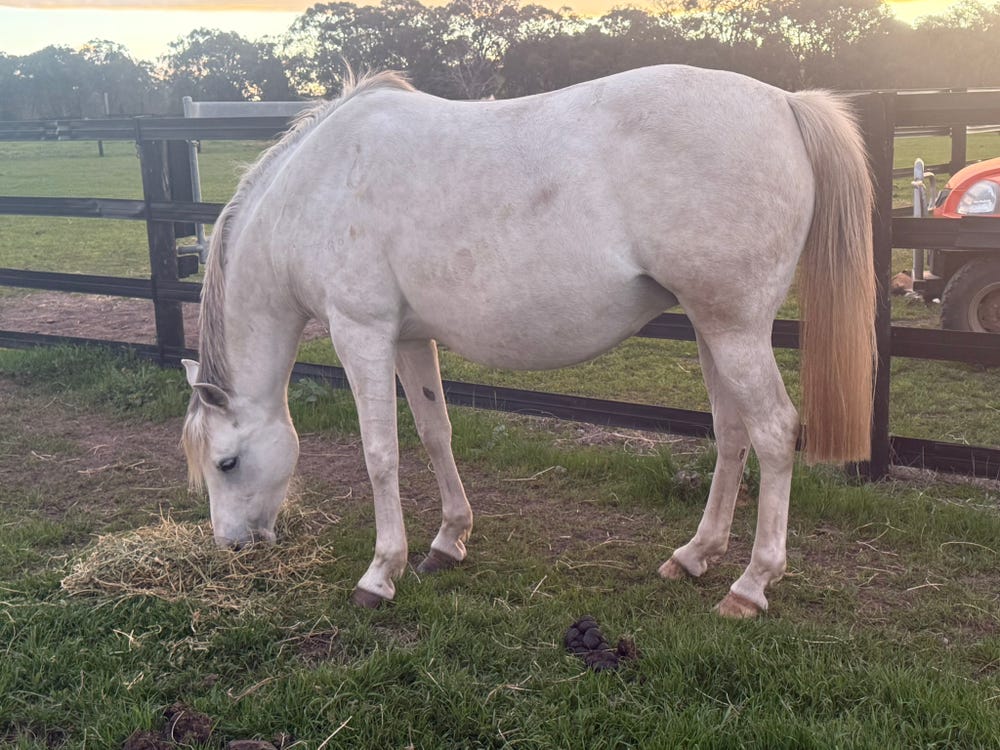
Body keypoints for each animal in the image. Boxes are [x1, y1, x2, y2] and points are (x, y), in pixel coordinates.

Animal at [181, 65, 875, 618]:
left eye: (227, 463)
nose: (232, 544)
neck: (317, 187)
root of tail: (784, 103)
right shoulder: (409, 339)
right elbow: (434, 434)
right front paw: (448, 542)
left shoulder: (361, 333)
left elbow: (382, 454)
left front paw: (380, 574)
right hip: (713, 328)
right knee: (732, 435)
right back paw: (694, 555)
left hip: (735, 329)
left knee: (775, 432)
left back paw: (751, 586)